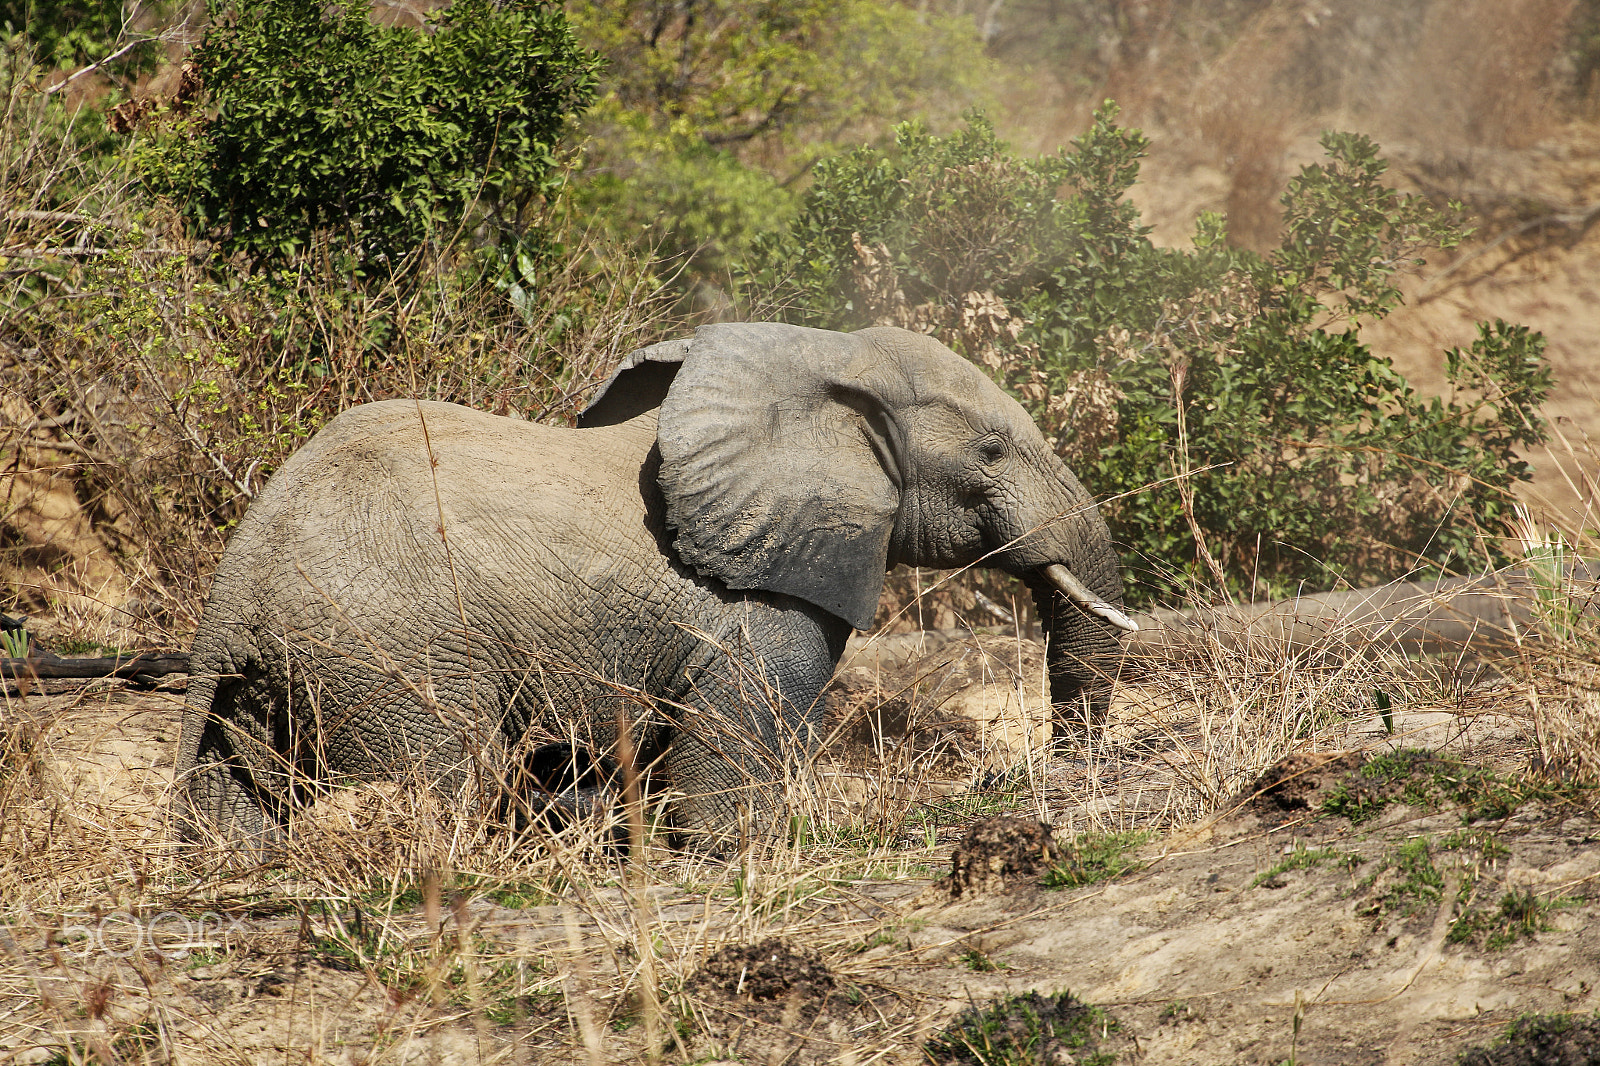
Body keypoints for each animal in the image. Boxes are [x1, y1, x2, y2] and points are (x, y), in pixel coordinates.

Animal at [175, 321, 1132, 845]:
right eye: (991, 453)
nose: (1030, 781)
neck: (822, 362)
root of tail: (235, 583)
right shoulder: (763, 599)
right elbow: (731, 755)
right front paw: (744, 849)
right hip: (392, 656)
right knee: (442, 787)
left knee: (233, 803)